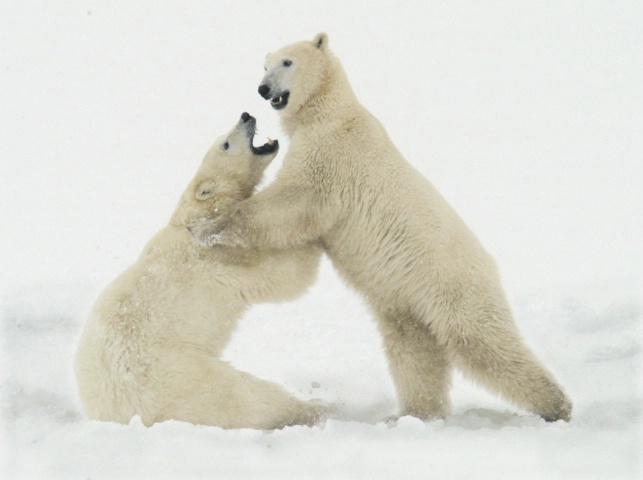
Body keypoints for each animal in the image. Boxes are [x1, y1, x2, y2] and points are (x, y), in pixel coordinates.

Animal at [75, 114, 328, 430]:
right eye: (226, 143)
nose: (246, 115)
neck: (194, 215)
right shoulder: (221, 256)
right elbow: (287, 276)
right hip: (183, 375)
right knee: (247, 397)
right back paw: (312, 409)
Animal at [191, 34, 572, 424]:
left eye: (287, 62)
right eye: (265, 65)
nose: (264, 89)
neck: (329, 110)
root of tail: (489, 264)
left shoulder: (331, 153)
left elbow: (295, 199)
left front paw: (208, 226)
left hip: (453, 286)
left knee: (480, 341)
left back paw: (556, 406)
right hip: (407, 299)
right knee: (414, 350)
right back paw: (413, 414)